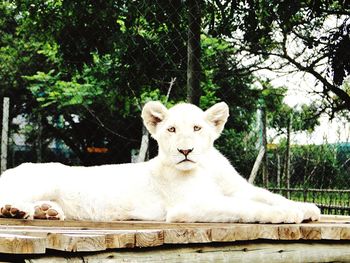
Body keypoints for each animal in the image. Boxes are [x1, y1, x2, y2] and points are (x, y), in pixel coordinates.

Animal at [0, 102, 320, 224]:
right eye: (171, 130)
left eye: (197, 128)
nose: (185, 150)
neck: (204, 167)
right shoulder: (187, 205)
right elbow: (243, 207)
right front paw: (285, 214)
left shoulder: (238, 187)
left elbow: (265, 195)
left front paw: (306, 208)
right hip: (40, 179)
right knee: (7, 198)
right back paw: (16, 210)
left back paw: (46, 211)